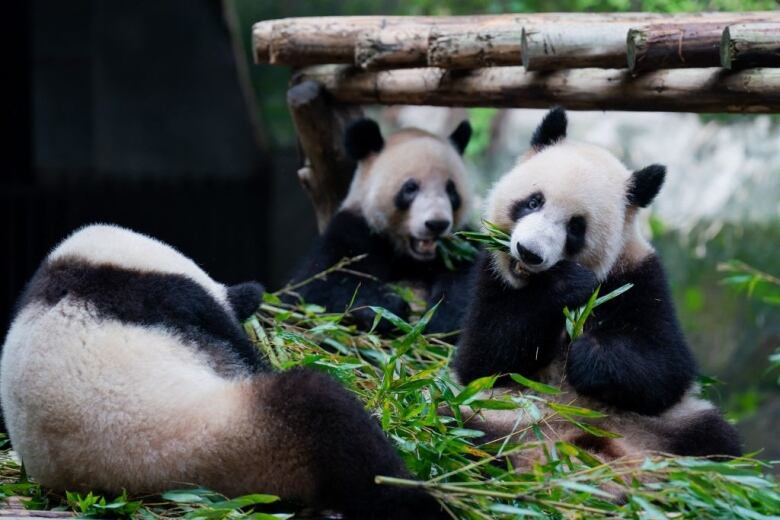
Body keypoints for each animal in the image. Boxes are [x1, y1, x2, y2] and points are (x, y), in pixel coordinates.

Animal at [448, 107, 740, 466]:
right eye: (534, 201)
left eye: (576, 227)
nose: (529, 253)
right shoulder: (491, 274)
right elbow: (482, 361)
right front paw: (564, 286)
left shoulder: (639, 277)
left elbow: (667, 366)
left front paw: (587, 355)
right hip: (494, 414)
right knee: (450, 429)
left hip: (668, 428)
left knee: (719, 441)